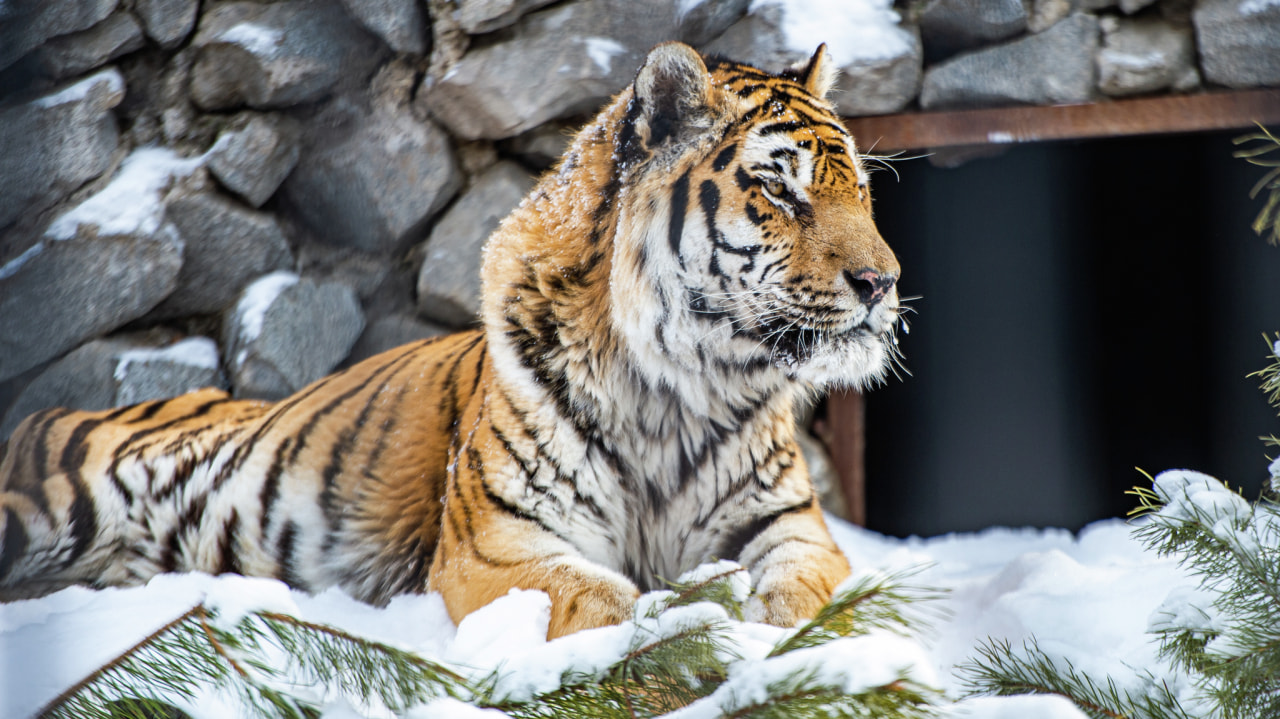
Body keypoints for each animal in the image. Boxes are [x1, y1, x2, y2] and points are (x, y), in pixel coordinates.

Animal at [0, 41, 901, 634]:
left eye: (859, 189)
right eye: (779, 191)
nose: (882, 282)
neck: (678, 389)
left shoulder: (793, 529)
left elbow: (808, 597)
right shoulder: (497, 543)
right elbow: (601, 599)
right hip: (46, 508)